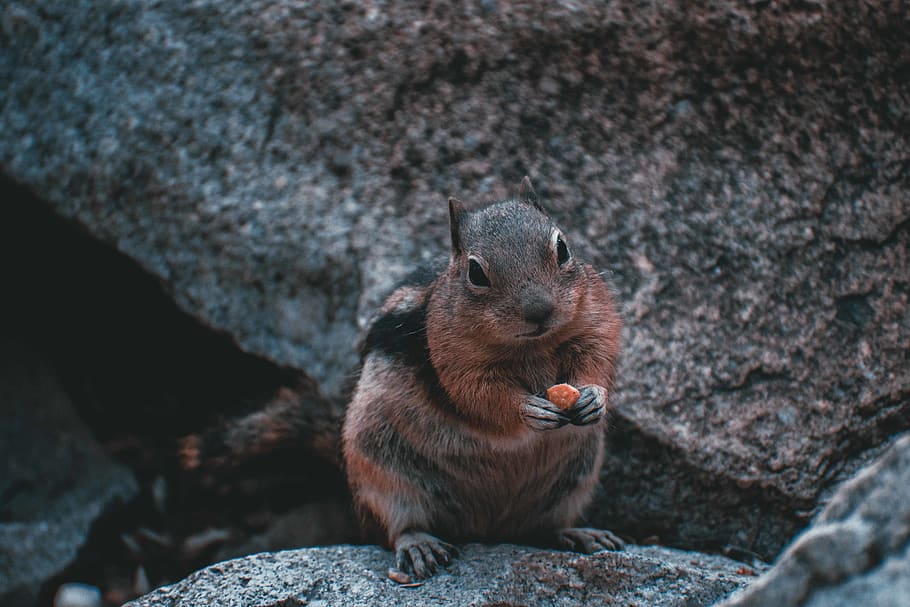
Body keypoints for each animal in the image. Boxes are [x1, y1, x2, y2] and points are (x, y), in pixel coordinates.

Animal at [342, 177, 624, 579]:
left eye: (563, 248)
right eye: (476, 273)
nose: (539, 310)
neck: (530, 346)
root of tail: (487, 529)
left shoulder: (595, 320)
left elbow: (599, 356)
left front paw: (593, 396)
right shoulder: (458, 359)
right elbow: (479, 395)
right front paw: (528, 410)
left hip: (575, 480)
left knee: (543, 527)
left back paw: (580, 534)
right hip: (380, 468)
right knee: (398, 525)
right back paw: (419, 545)